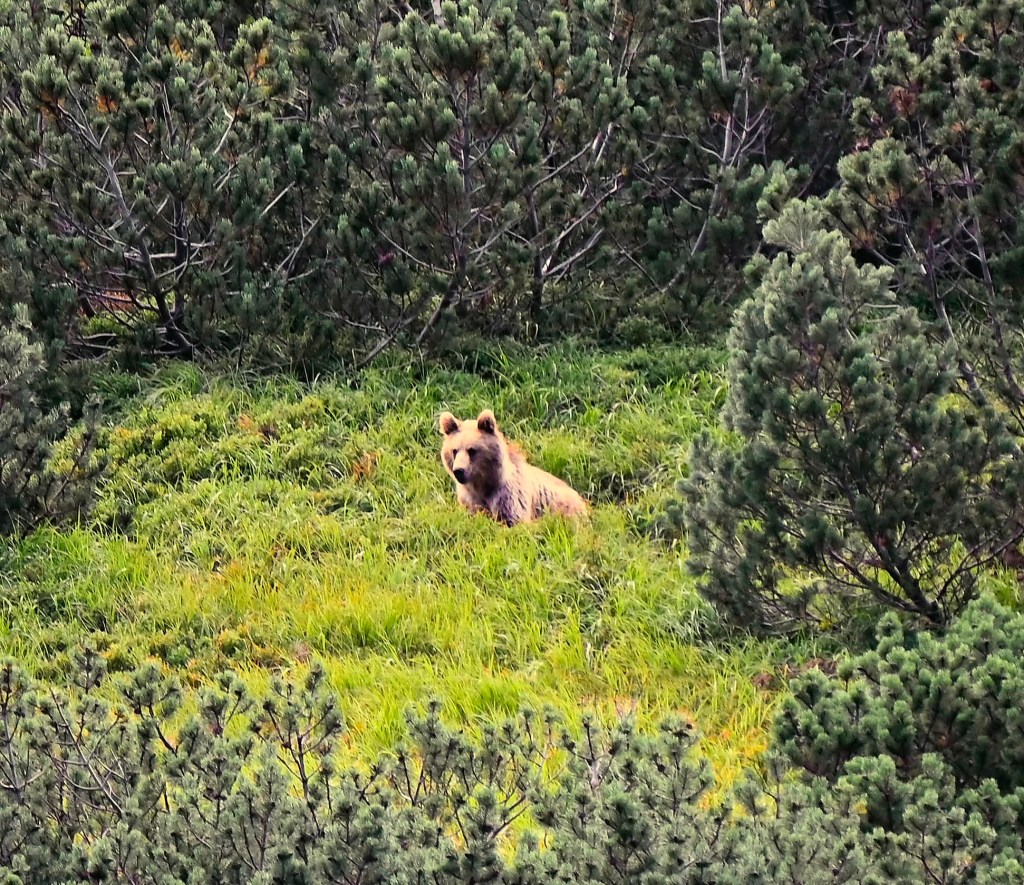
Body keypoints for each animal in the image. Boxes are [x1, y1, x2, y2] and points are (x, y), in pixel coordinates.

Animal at [438, 409, 588, 526]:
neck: (483, 484)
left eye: (472, 450)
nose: (458, 471)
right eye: (454, 450)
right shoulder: (469, 500)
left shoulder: (508, 496)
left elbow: (513, 520)